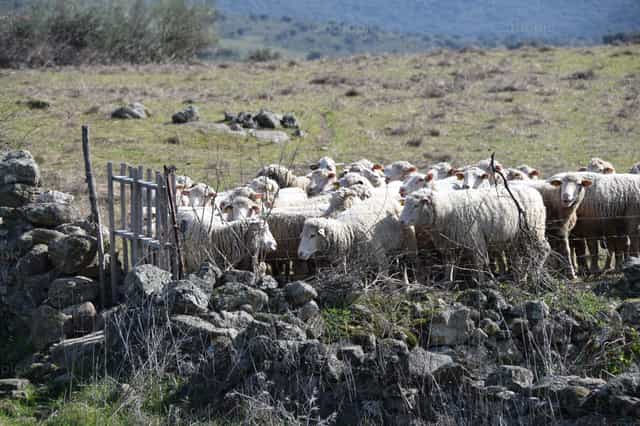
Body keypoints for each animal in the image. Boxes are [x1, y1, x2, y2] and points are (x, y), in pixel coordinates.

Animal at [399, 186, 549, 283]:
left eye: (416, 205)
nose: (401, 221)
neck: (446, 210)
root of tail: (535, 192)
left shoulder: (475, 239)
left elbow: (479, 262)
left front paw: (481, 282)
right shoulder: (449, 244)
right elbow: (449, 263)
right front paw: (447, 281)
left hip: (534, 230)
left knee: (544, 250)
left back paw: (535, 274)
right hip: (519, 237)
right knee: (523, 255)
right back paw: (521, 277)